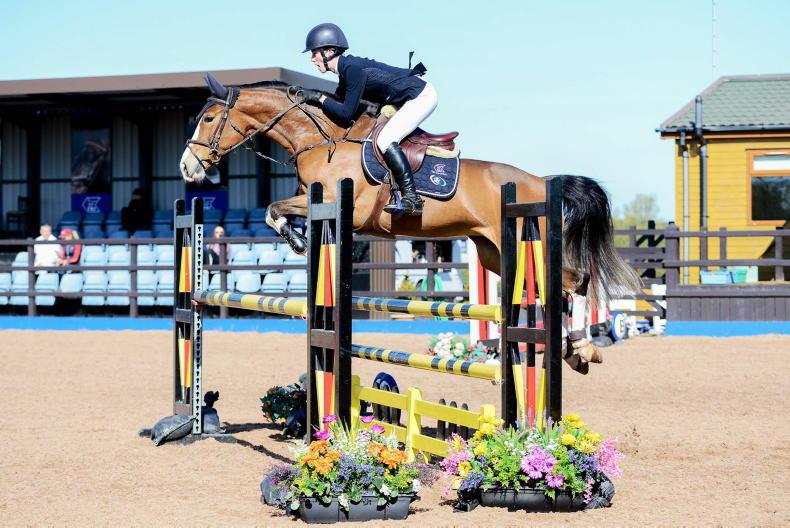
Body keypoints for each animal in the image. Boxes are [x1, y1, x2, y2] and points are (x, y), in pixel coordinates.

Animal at [179, 75, 641, 372]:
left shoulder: (347, 207)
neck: (324, 140)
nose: (187, 168)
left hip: (534, 243)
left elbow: (275, 209)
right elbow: (274, 210)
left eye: (207, 119)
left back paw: (583, 347)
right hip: (493, 254)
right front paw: (297, 239)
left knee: (575, 281)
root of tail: (541, 182)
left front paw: (295, 239)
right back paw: (570, 350)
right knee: (556, 288)